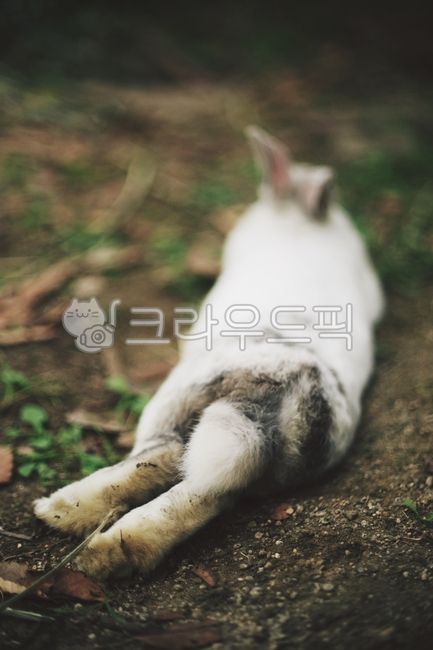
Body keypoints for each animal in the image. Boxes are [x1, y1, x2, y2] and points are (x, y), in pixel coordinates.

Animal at [34, 126, 384, 578]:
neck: (302, 225)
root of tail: (291, 398)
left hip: (176, 400)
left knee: (161, 456)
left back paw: (69, 521)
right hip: (245, 454)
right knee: (204, 490)